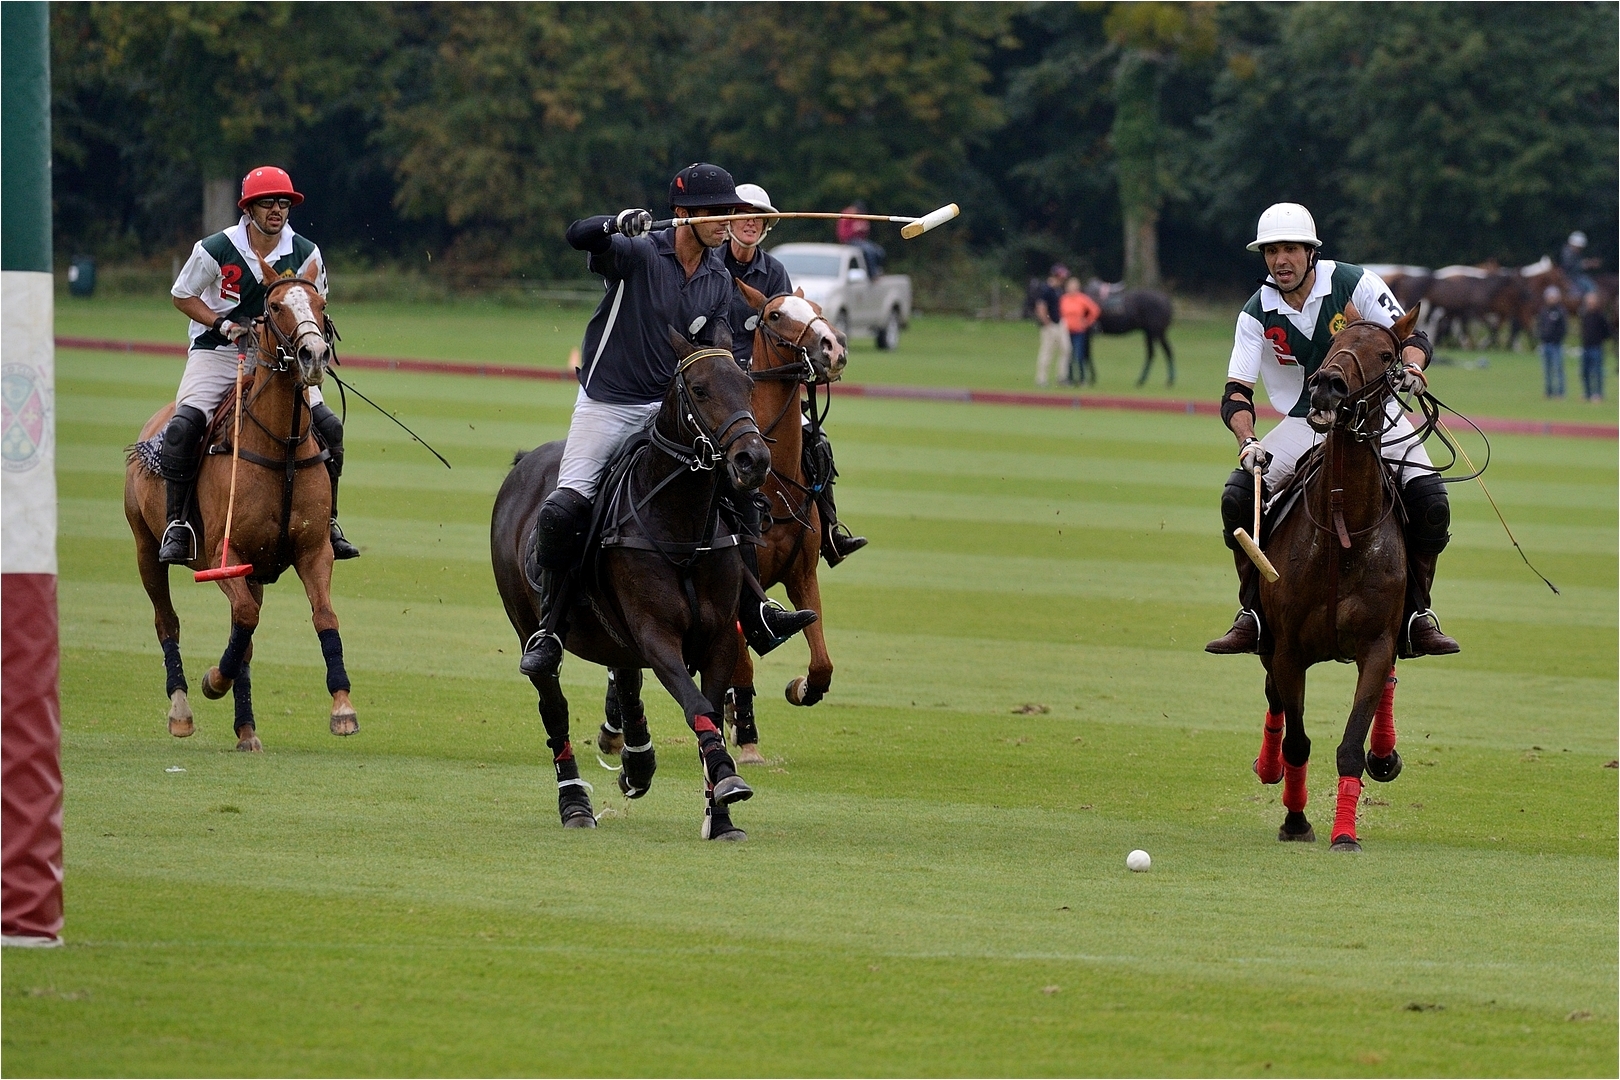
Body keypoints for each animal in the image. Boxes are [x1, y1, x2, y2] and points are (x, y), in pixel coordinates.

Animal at [124, 277, 355, 752]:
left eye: (321, 303)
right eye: (275, 306)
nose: (314, 355)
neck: (282, 447)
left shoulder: (312, 552)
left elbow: (322, 616)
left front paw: (342, 706)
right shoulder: (222, 557)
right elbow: (244, 619)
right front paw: (214, 680)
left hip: (254, 572)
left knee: (242, 634)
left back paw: (246, 730)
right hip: (144, 547)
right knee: (166, 621)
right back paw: (181, 710)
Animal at [490, 329, 772, 839]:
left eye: (747, 384)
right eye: (699, 389)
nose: (753, 460)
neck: (680, 526)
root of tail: (524, 462)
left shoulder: (721, 637)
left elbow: (708, 709)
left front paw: (720, 816)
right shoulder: (657, 634)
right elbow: (696, 703)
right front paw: (727, 779)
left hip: (616, 636)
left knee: (625, 682)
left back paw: (637, 766)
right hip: (527, 625)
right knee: (553, 704)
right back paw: (575, 804)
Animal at [722, 280, 849, 763]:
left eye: (816, 307)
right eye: (775, 315)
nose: (834, 347)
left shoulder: (802, 574)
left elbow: (822, 661)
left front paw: (801, 688)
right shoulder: (739, 584)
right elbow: (742, 663)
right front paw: (748, 741)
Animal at [1249, 302, 1423, 852]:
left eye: (1387, 355)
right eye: (1333, 346)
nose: (1326, 384)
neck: (1343, 525)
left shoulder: (1375, 644)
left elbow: (1350, 744)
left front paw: (1344, 833)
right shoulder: (1287, 649)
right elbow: (1297, 741)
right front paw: (1295, 821)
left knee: (1392, 676)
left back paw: (1385, 754)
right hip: (1268, 641)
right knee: (1273, 700)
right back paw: (1267, 765)